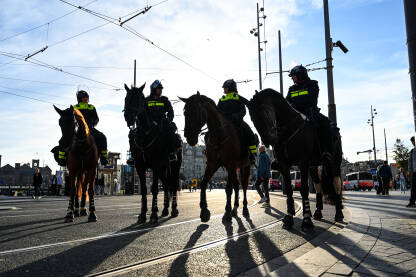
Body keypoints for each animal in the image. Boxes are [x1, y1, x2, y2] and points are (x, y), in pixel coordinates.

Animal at [123, 83, 182, 223]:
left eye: (139, 99)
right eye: (126, 98)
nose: (128, 117)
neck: (145, 133)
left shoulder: (155, 165)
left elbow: (154, 188)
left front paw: (154, 213)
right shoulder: (140, 166)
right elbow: (144, 189)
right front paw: (143, 214)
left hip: (174, 167)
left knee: (173, 185)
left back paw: (174, 209)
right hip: (163, 169)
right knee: (166, 185)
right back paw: (165, 209)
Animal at [179, 91, 250, 221]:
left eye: (195, 111)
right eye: (185, 113)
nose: (189, 137)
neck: (219, 135)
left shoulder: (230, 164)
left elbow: (228, 189)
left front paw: (226, 212)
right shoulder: (213, 164)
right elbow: (203, 183)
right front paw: (204, 210)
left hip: (245, 165)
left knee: (244, 185)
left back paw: (244, 208)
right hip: (233, 168)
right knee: (237, 186)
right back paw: (235, 208)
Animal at [247, 89, 344, 229]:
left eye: (265, 112)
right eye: (252, 118)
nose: (268, 140)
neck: (289, 129)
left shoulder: (303, 162)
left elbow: (304, 189)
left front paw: (306, 220)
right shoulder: (284, 164)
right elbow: (288, 189)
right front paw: (288, 217)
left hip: (334, 162)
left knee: (336, 183)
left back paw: (339, 213)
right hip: (313, 166)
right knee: (318, 186)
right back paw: (318, 212)